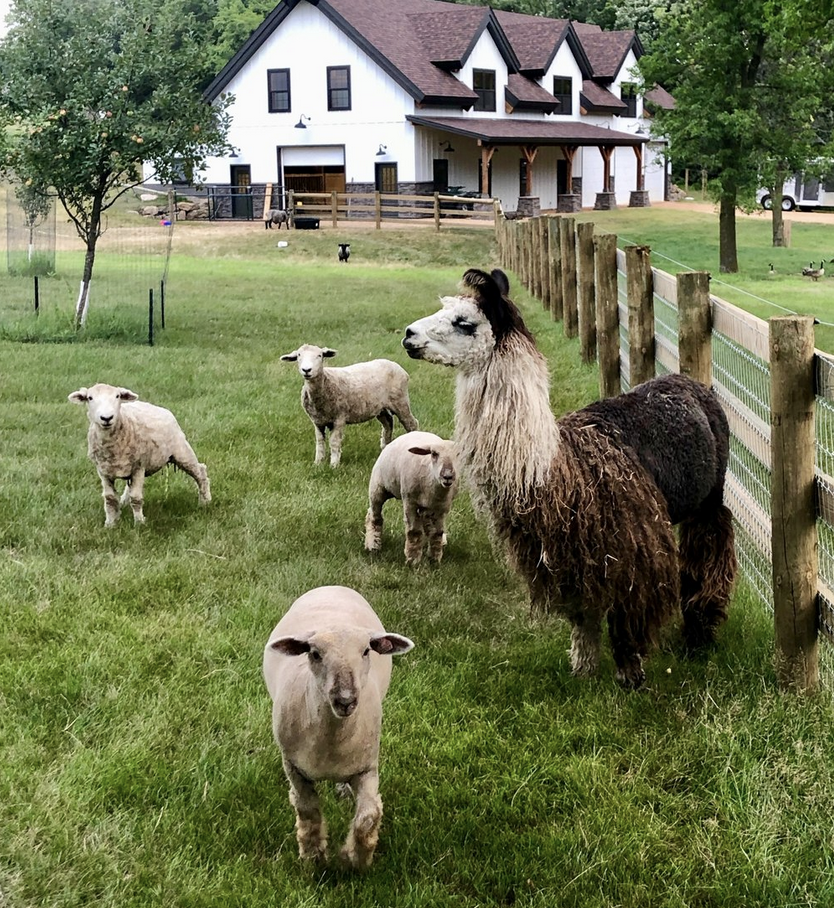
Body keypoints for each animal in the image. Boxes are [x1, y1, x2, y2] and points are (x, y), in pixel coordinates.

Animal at [68, 383, 211, 527]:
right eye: (90, 398)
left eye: (117, 396)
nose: (107, 418)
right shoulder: (103, 471)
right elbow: (110, 498)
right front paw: (110, 523)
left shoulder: (139, 467)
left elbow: (136, 498)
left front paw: (139, 523)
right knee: (128, 487)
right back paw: (123, 502)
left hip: (181, 450)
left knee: (200, 472)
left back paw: (205, 501)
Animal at [263, 585, 414, 869]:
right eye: (314, 653)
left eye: (366, 651)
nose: (345, 700)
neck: (331, 741)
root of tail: (333, 586)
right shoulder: (293, 767)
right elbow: (308, 811)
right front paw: (314, 857)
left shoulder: (367, 767)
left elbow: (368, 816)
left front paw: (353, 860)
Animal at [281, 344, 419, 467]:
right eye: (299, 355)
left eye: (319, 355)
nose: (306, 370)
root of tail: (395, 365)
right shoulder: (317, 421)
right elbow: (319, 442)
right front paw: (318, 463)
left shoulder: (339, 418)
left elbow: (334, 443)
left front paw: (334, 465)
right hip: (380, 407)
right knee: (388, 423)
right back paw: (385, 447)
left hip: (400, 401)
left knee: (411, 424)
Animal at [364, 430, 459, 564]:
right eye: (434, 454)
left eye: (458, 455)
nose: (448, 476)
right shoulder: (410, 502)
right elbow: (414, 531)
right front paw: (412, 560)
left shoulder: (442, 508)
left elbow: (437, 533)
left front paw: (434, 559)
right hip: (378, 487)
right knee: (374, 516)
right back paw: (373, 545)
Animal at [403, 268, 737, 689]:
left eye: (464, 322)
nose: (408, 335)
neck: (551, 469)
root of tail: (690, 382)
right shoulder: (568, 557)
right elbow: (583, 614)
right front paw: (583, 672)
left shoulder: (631, 550)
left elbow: (627, 615)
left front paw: (630, 676)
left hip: (709, 498)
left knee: (709, 553)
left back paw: (699, 635)